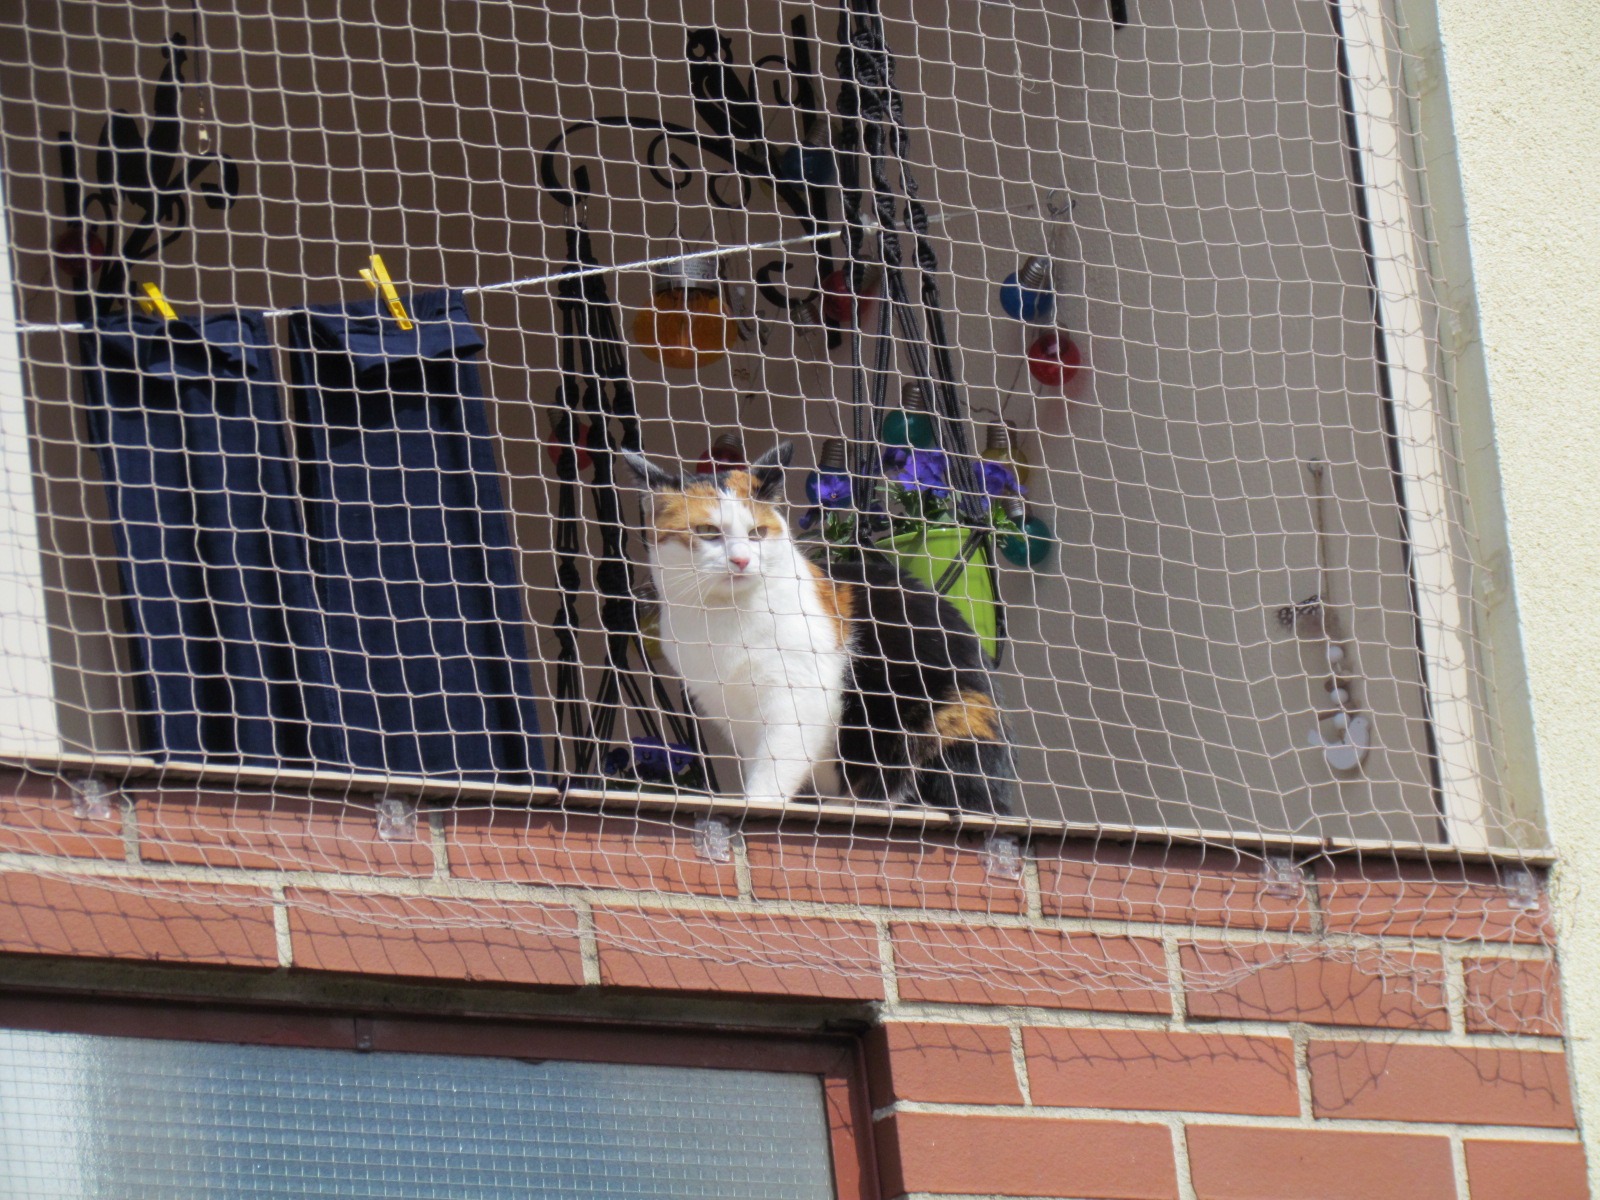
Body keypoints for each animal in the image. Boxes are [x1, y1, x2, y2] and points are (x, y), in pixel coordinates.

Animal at [624, 441, 1014, 814]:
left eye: (757, 533)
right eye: (707, 532)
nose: (741, 560)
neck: (721, 617)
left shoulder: (798, 696)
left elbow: (774, 766)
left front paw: (757, 803)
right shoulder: (735, 715)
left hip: (946, 716)